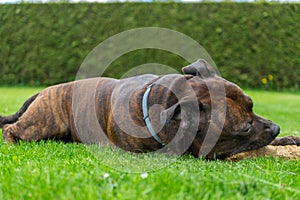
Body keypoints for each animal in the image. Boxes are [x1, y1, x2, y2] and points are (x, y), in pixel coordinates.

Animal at [0, 58, 300, 159]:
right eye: (244, 127)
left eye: (252, 105)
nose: (276, 127)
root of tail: (45, 90)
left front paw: (291, 137)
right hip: (44, 123)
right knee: (11, 128)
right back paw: (12, 144)